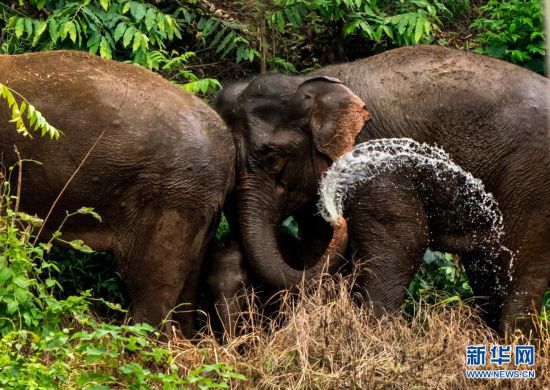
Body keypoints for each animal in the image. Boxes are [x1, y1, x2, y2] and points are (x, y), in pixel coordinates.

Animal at [216, 45, 550, 332]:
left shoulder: (373, 165)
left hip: (533, 182)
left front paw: (375, 336)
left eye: (272, 158)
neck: (308, 82)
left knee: (519, 269)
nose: (339, 217)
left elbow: (404, 239)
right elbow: (320, 245)